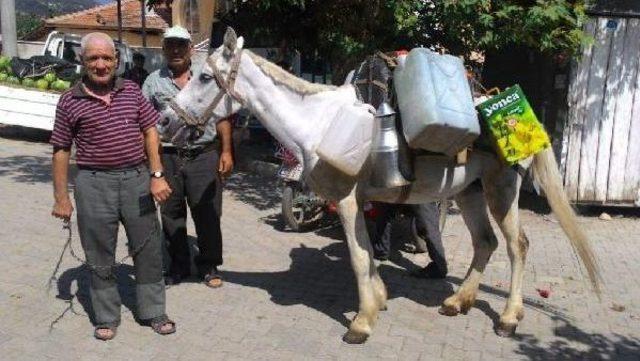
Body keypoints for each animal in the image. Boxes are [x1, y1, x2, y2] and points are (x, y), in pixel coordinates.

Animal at [166, 29, 600, 342]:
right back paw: (458, 301)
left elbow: (359, 258)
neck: (317, 122)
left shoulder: (346, 200)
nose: (168, 120)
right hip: (469, 191)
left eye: (205, 76)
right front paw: (379, 302)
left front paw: (361, 323)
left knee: (516, 246)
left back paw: (508, 318)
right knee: (485, 242)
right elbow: (368, 254)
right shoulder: (359, 203)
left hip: (502, 187)